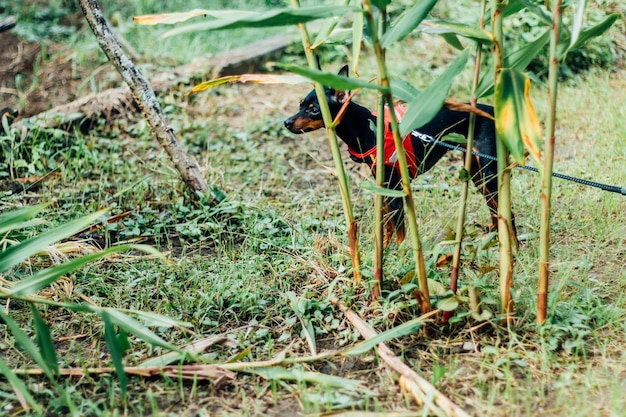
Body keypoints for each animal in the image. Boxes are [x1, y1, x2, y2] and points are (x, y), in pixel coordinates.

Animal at [282, 66, 512, 247]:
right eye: (300, 105)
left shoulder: (395, 189)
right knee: (494, 209)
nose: (286, 122)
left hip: (489, 172)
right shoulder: (384, 187)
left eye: (314, 110)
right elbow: (388, 227)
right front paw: (384, 253)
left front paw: (401, 256)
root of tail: (493, 113)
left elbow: (400, 230)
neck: (367, 128)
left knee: (506, 214)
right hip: (477, 174)